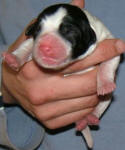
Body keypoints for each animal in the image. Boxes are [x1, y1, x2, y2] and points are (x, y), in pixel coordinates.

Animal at [2, 3, 120, 149]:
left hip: (105, 101)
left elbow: (107, 64)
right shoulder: (32, 41)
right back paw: (82, 122)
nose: (44, 46)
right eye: (38, 29)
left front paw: (105, 84)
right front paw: (13, 59)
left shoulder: (107, 39)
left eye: (69, 31)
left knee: (100, 105)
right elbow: (27, 45)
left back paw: (90, 117)